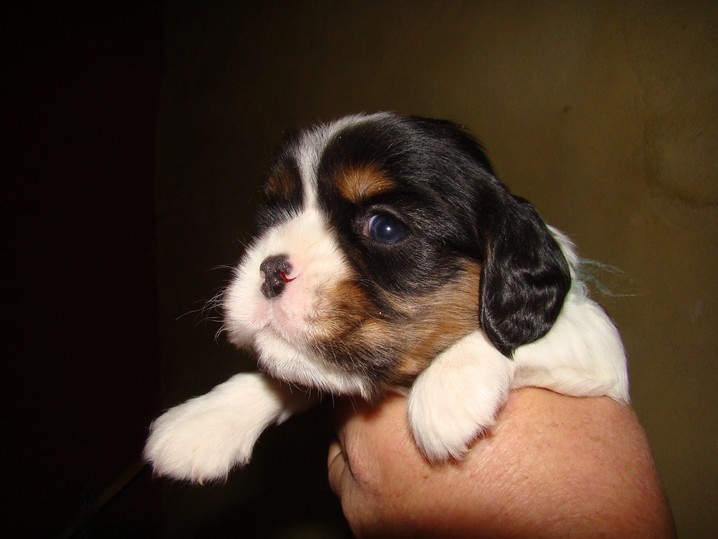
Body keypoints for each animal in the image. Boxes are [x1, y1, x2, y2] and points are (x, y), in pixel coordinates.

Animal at [144, 112, 629, 483]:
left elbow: (541, 333)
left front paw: (448, 393)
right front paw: (204, 421)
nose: (270, 269)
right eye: (274, 214)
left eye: (386, 228)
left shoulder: (600, 347)